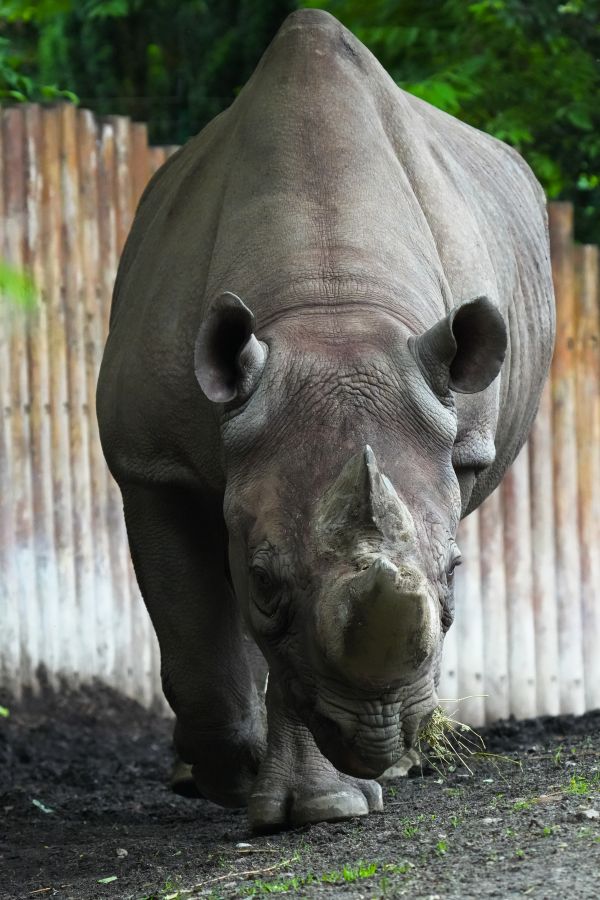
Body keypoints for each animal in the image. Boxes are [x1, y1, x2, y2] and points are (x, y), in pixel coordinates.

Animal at [97, 9, 555, 830]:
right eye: (263, 578)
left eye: (456, 573)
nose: (377, 735)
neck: (330, 306)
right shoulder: (149, 461)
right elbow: (204, 635)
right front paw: (238, 779)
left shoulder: (453, 439)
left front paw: (324, 806)